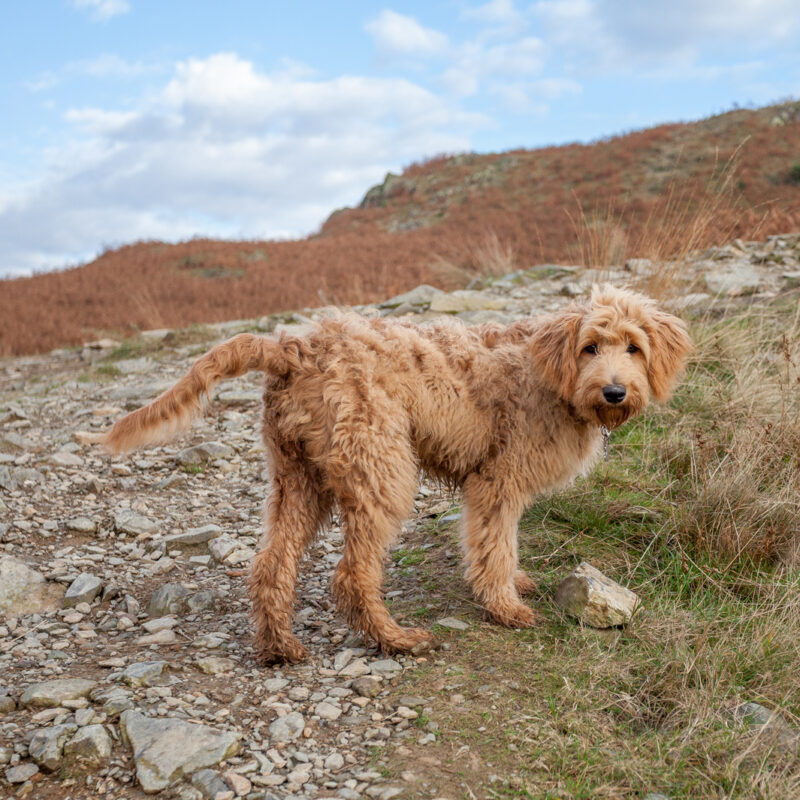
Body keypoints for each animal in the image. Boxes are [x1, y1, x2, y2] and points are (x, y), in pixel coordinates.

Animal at [98, 286, 688, 664]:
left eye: (633, 346)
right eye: (591, 346)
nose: (614, 391)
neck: (548, 372)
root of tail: (294, 348)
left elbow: (499, 543)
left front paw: (513, 583)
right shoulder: (497, 481)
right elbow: (496, 545)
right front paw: (505, 606)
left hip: (297, 478)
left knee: (271, 564)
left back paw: (279, 648)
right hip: (381, 469)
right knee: (352, 574)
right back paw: (395, 639)